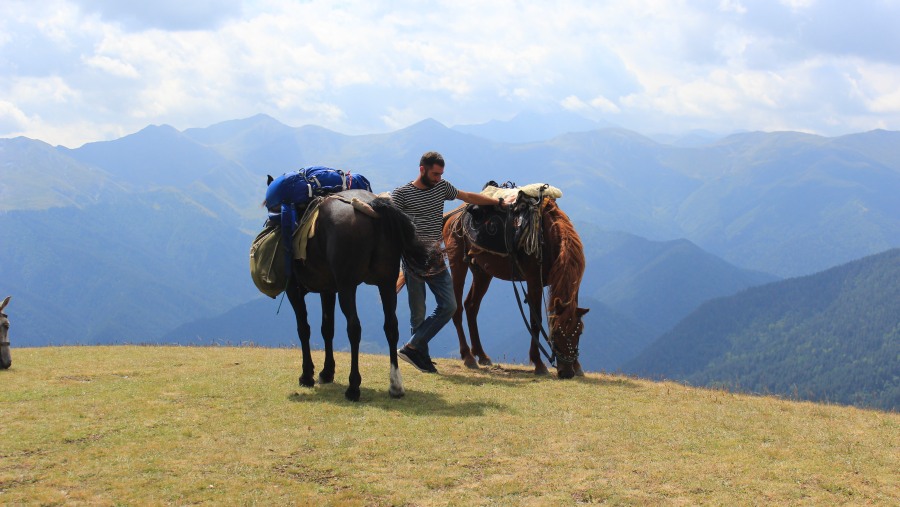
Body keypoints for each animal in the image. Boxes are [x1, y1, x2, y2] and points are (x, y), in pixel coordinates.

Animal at [444, 197, 592, 378]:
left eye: (579, 333)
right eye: (556, 332)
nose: (566, 372)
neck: (549, 239)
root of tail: (454, 215)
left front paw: (577, 366)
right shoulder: (534, 282)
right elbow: (535, 321)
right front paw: (538, 363)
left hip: (482, 271)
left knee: (471, 306)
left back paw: (481, 354)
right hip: (457, 262)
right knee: (458, 307)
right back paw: (467, 356)